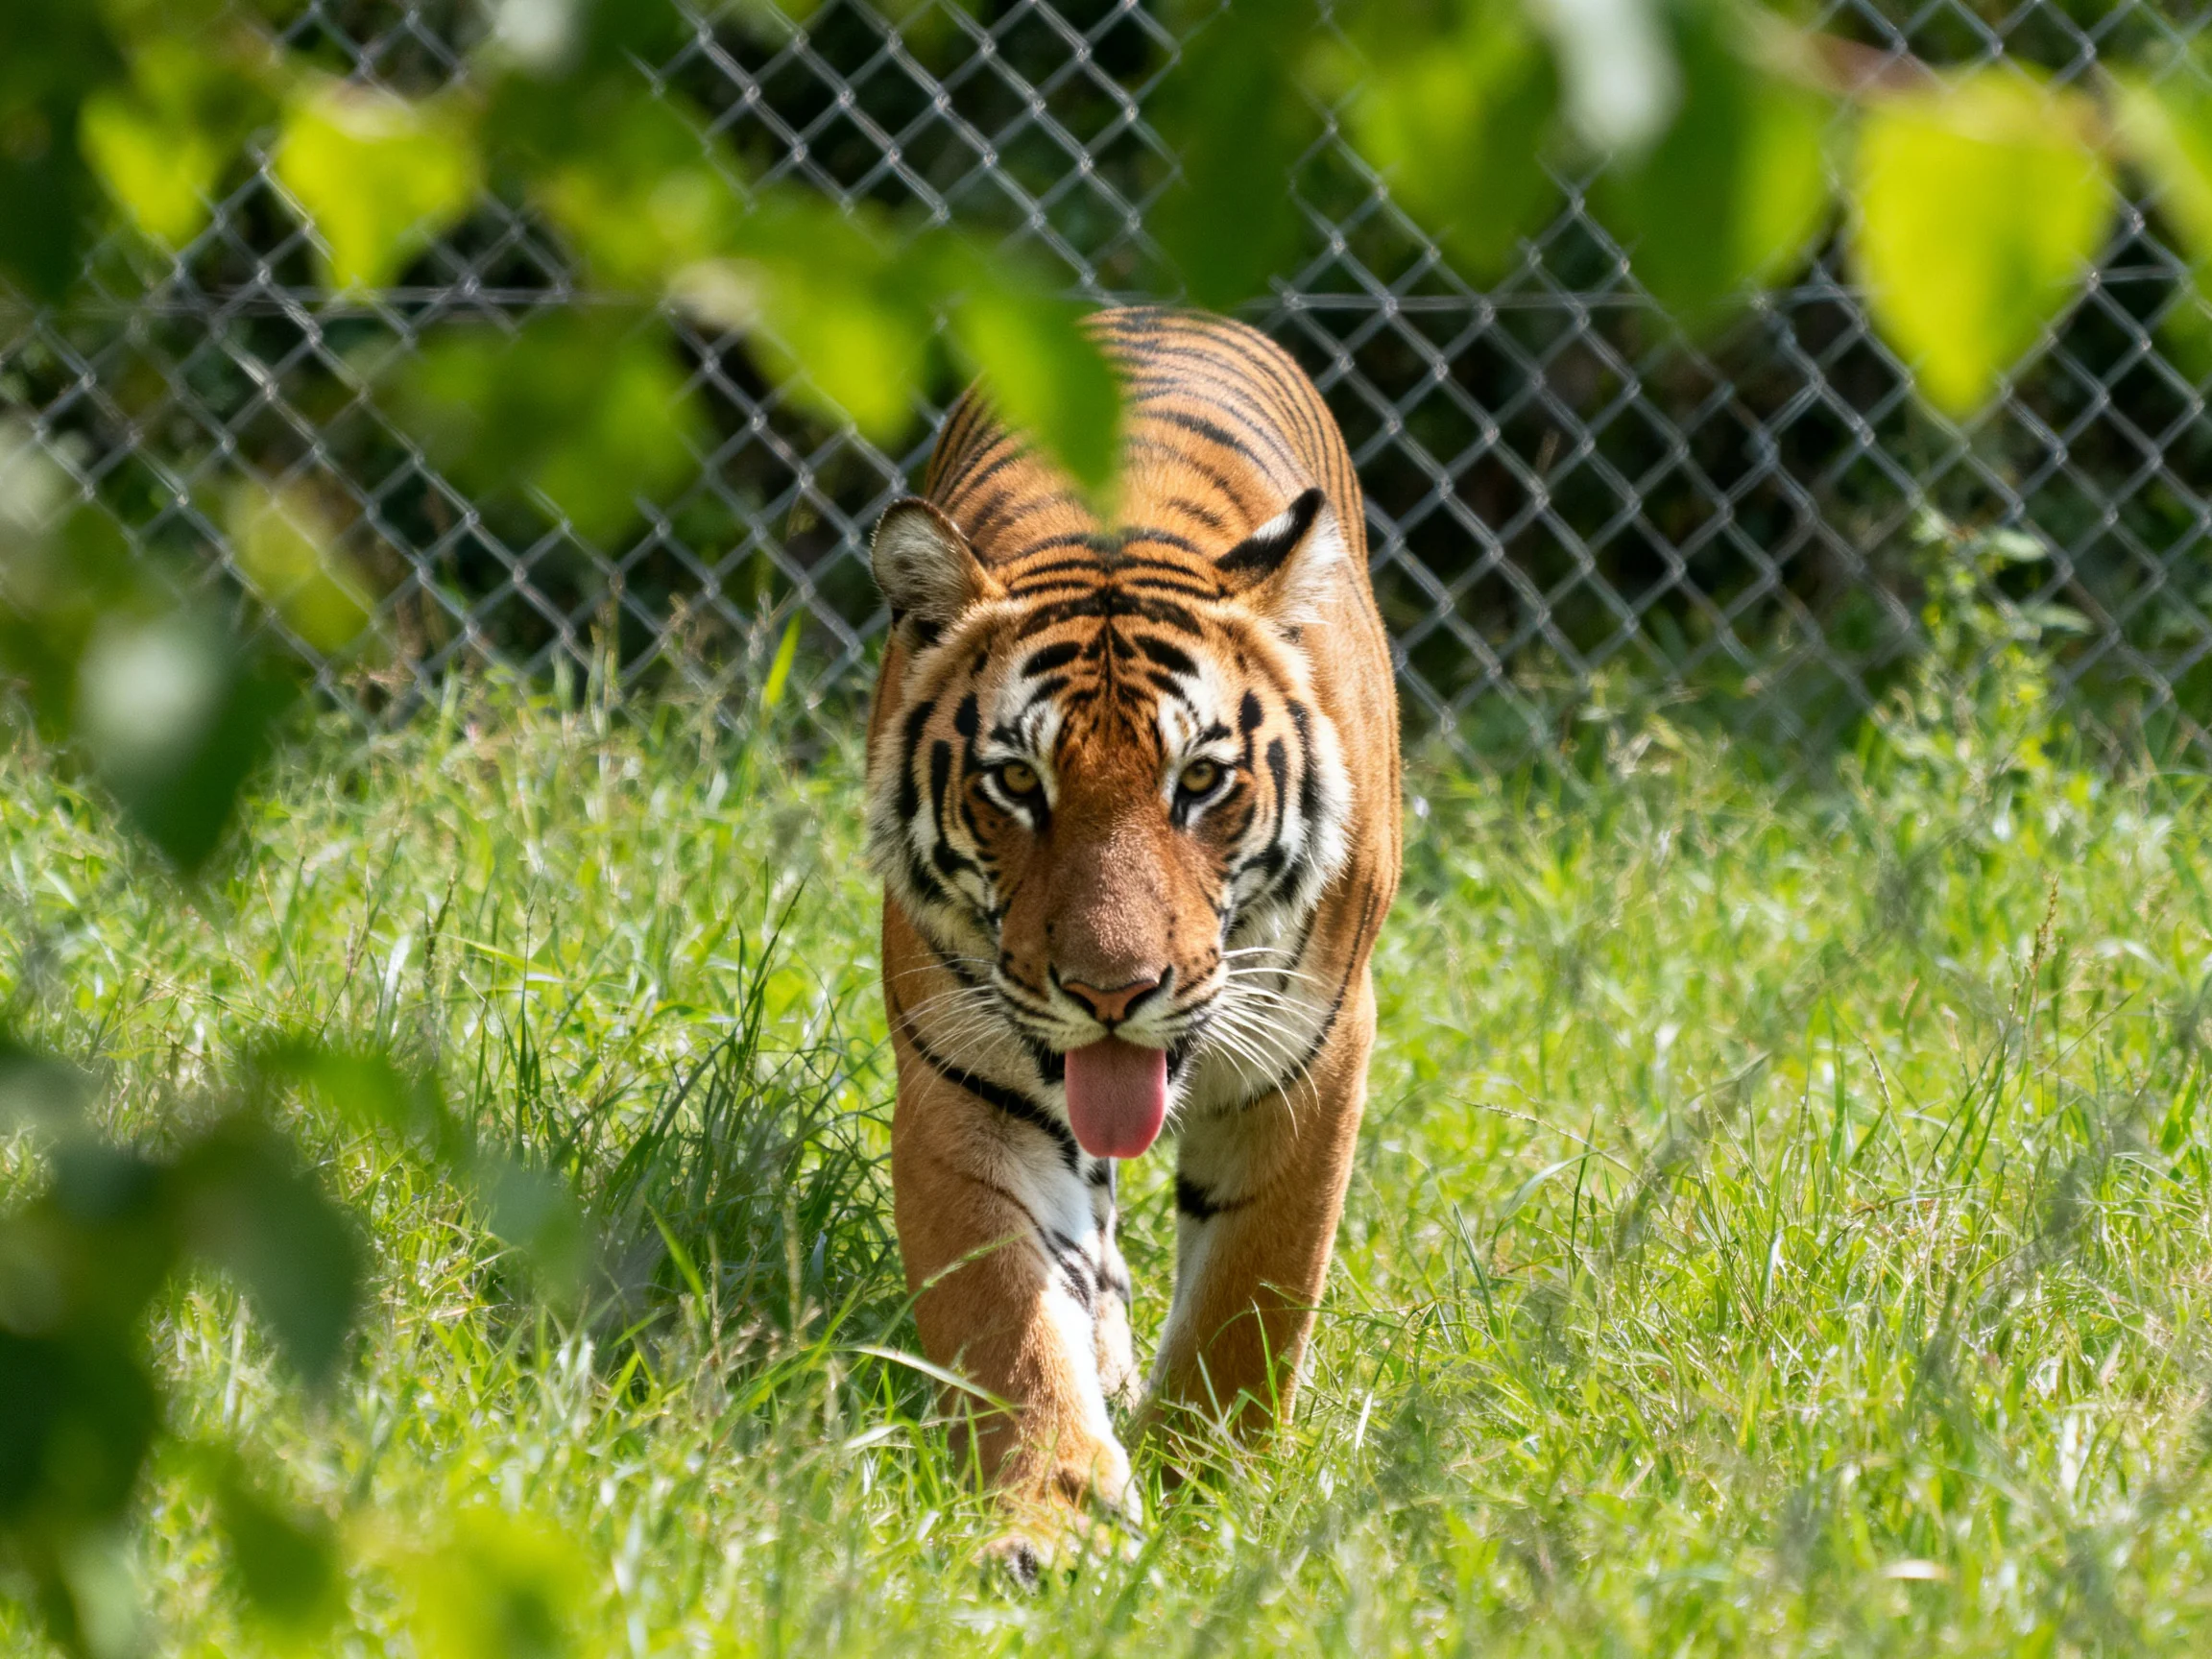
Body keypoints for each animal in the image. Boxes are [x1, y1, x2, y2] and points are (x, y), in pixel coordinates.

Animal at [863, 306, 1400, 1560]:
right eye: (1018, 784)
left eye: (1199, 781)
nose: (1112, 991)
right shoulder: (966, 1079)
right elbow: (1006, 1317)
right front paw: (1051, 1520)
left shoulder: (1309, 1060)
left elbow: (1255, 1293)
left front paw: (1210, 1490)